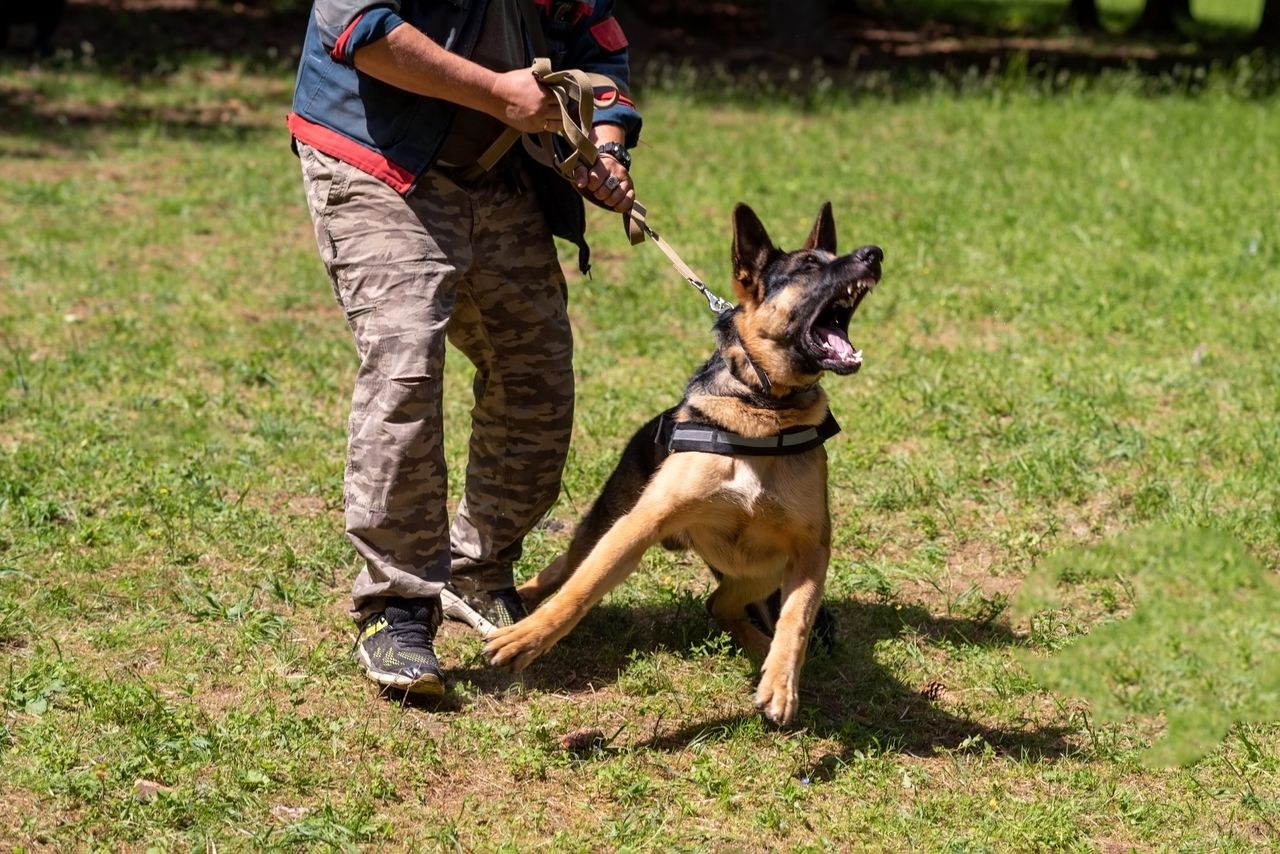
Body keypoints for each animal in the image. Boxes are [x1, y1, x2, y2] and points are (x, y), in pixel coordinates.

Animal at [483, 203, 885, 727]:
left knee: (719, 605)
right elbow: (581, 590)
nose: (874, 253)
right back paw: (522, 602)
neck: (762, 411)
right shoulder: (640, 524)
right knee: (566, 569)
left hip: (760, 571)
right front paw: (527, 639)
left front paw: (781, 682)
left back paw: (760, 649)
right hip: (606, 525)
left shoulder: (809, 548)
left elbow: (796, 619)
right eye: (808, 268)